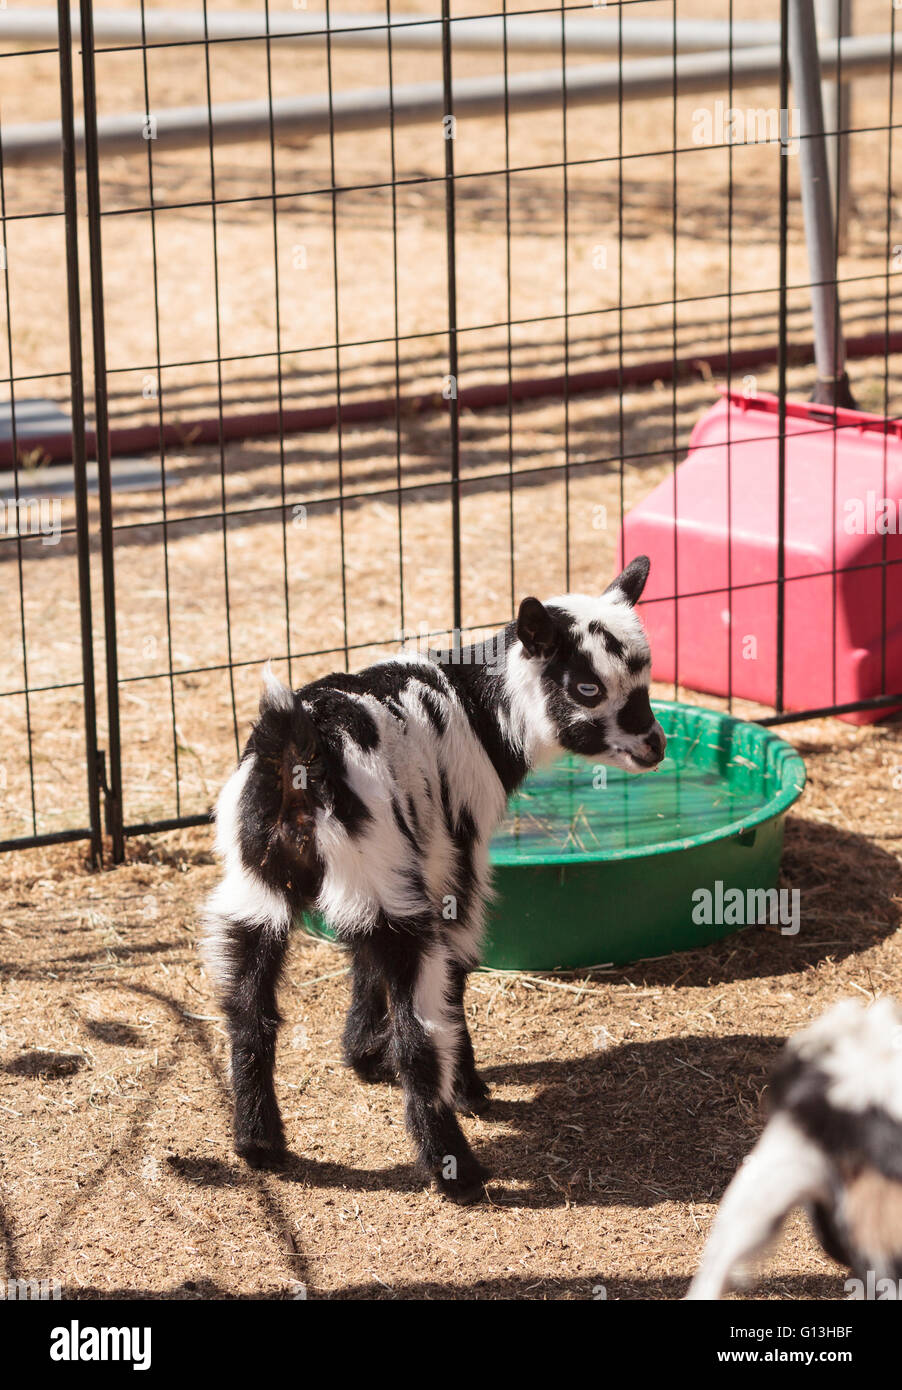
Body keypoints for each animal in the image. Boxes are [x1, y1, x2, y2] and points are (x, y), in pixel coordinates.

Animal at [203, 556, 665, 1201]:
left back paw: (259, 1144)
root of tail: (300, 754)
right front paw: (470, 1090)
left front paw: (361, 1058)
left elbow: (363, 963)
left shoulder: (389, 881)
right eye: (587, 688)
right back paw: (458, 1170)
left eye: (647, 677)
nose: (655, 747)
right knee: (419, 1031)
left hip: (259, 891)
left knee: (249, 1011)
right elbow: (457, 972)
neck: (479, 706)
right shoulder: (453, 863)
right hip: (383, 879)